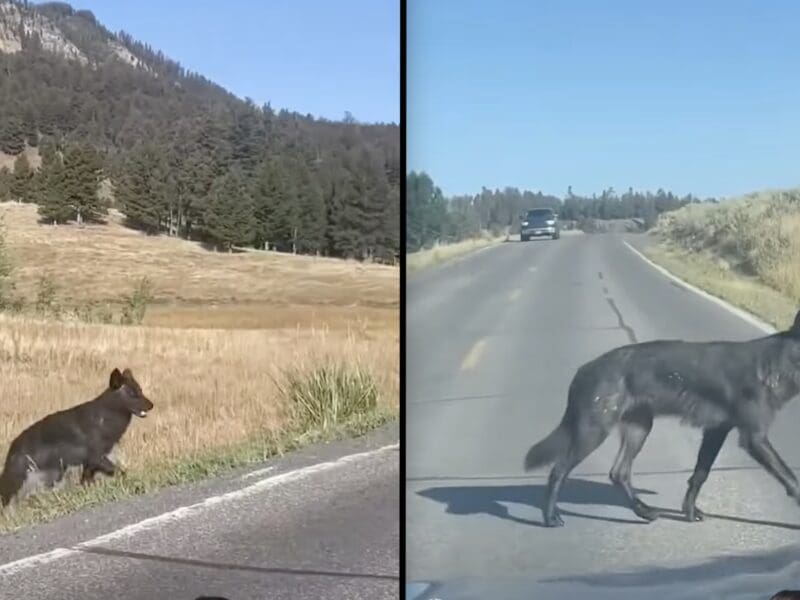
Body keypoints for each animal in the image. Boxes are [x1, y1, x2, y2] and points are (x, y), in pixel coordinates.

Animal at [0, 367, 154, 506]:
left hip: (54, 473)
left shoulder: (90, 463)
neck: (103, 418)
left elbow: (86, 480)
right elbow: (119, 471)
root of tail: (13, 448)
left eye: (140, 390)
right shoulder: (97, 457)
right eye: (132, 394)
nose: (151, 405)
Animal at [524, 309, 800, 527]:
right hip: (594, 432)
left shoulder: (716, 432)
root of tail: (583, 370)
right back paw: (550, 518)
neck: (780, 362)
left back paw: (643, 511)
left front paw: (689, 512)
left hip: (639, 428)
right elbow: (791, 478)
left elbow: (700, 474)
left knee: (619, 473)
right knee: (559, 470)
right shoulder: (754, 438)